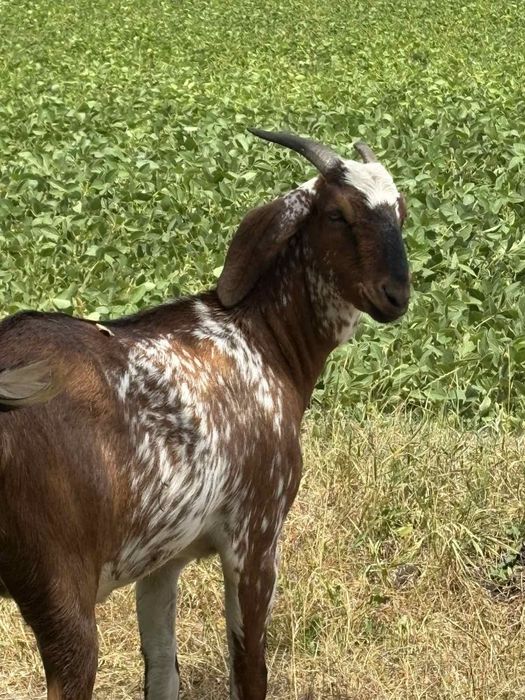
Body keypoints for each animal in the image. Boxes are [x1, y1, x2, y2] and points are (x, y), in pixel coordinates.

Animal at [0, 129, 410, 700]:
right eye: (337, 214)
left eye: (402, 213)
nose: (396, 294)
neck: (260, 340)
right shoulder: (255, 536)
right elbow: (249, 670)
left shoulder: (162, 560)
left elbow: (162, 670)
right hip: (62, 593)